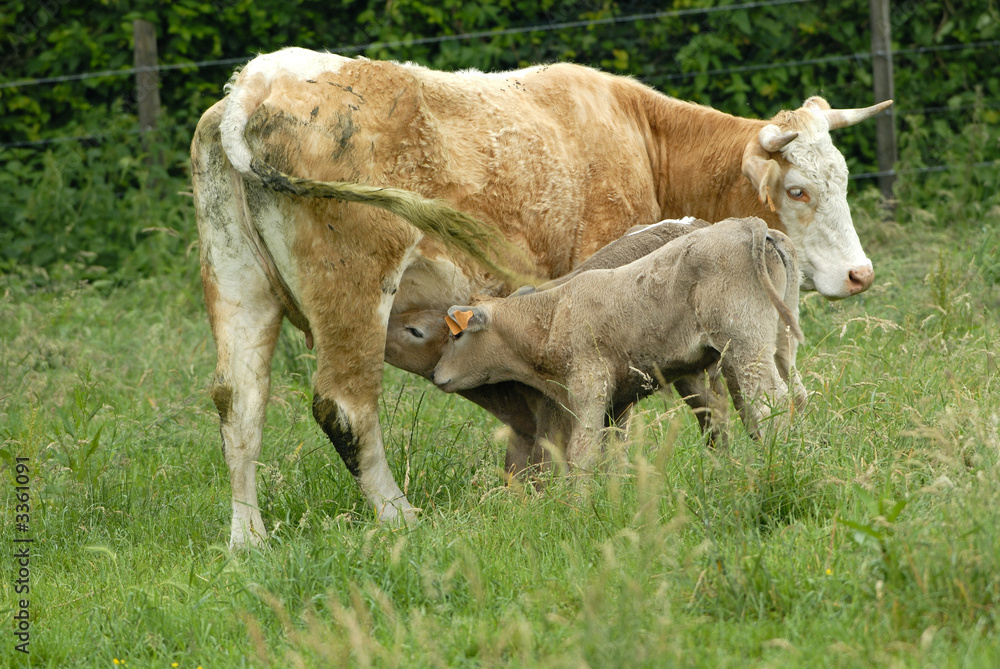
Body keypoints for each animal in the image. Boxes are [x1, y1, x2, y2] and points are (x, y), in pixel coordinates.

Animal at [432, 217, 804, 469]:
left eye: (456, 333)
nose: (436, 374)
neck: (554, 311)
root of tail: (745, 224)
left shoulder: (589, 388)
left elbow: (580, 454)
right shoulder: (618, 400)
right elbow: (611, 454)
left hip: (746, 346)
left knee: (769, 404)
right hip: (772, 344)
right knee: (783, 399)